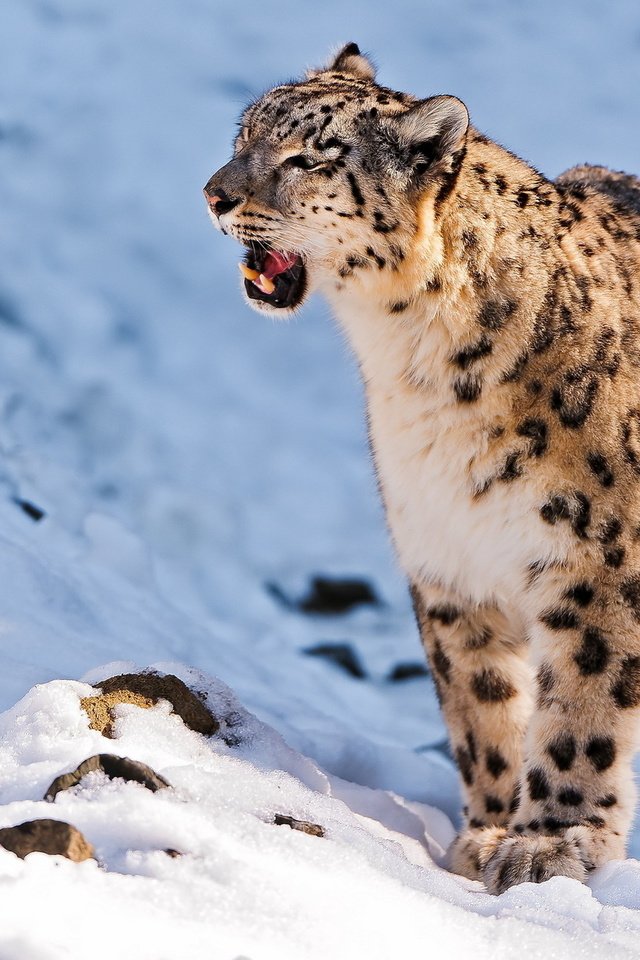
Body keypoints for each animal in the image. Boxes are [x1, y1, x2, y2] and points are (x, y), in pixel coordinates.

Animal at [204, 39, 640, 892]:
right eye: (243, 134)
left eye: (307, 157)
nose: (213, 193)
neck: (421, 372)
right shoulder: (446, 559)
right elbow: (479, 705)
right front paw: (487, 834)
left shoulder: (596, 559)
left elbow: (581, 703)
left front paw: (551, 843)